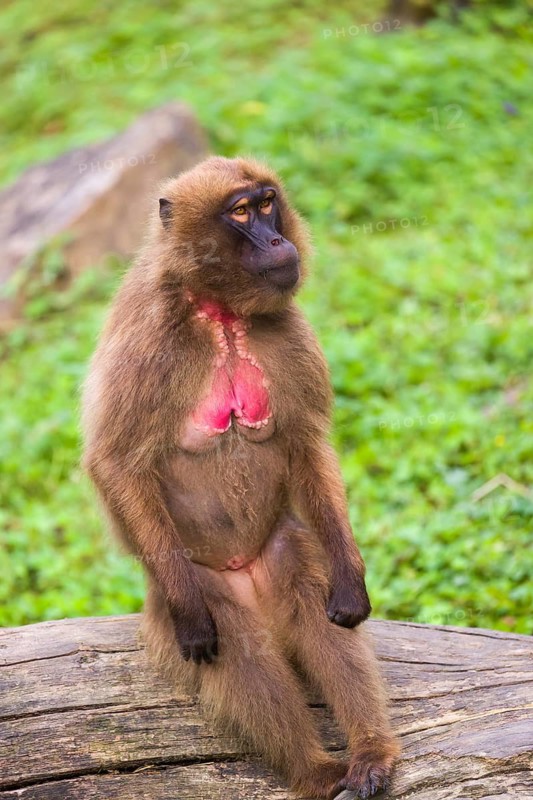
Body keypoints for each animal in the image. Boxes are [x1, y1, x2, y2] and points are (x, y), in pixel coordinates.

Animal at [82, 156, 400, 799]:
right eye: (241, 212)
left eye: (268, 203)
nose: (277, 242)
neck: (220, 311)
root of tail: (246, 573)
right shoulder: (149, 332)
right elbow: (115, 460)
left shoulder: (285, 325)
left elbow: (306, 442)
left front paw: (352, 581)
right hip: (189, 579)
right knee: (240, 648)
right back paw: (314, 771)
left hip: (278, 548)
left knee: (309, 597)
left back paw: (369, 756)